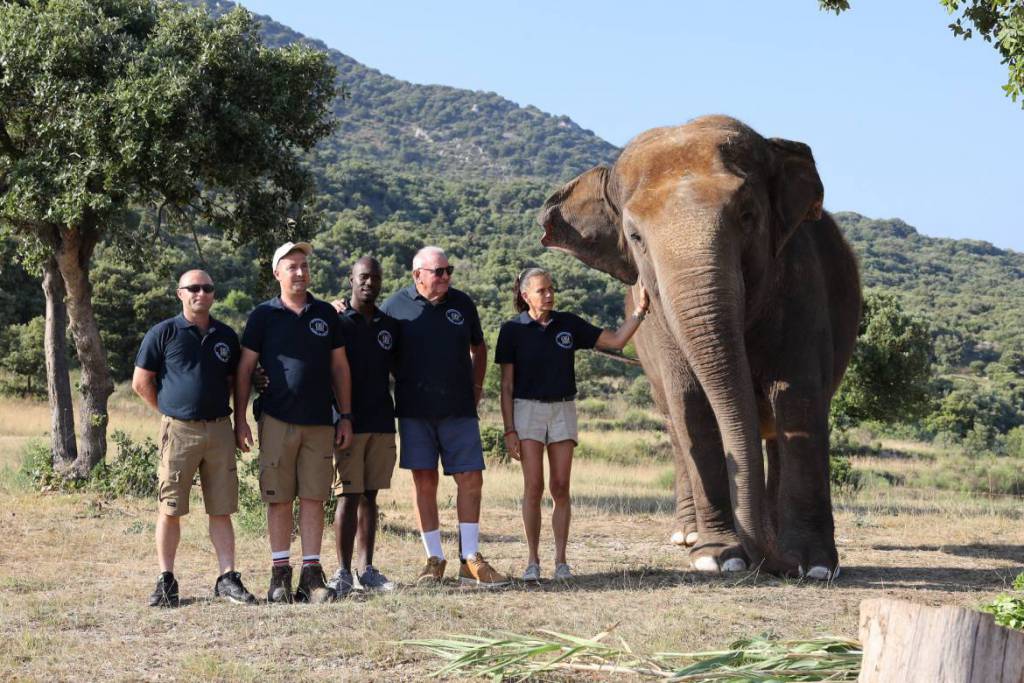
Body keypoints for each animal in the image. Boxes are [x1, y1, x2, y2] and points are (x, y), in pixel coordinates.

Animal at [540, 114, 860, 581]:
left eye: (747, 214)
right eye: (635, 235)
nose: (770, 564)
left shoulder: (802, 282)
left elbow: (796, 397)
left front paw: (813, 565)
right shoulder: (659, 322)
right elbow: (691, 403)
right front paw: (718, 557)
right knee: (675, 425)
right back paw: (690, 536)